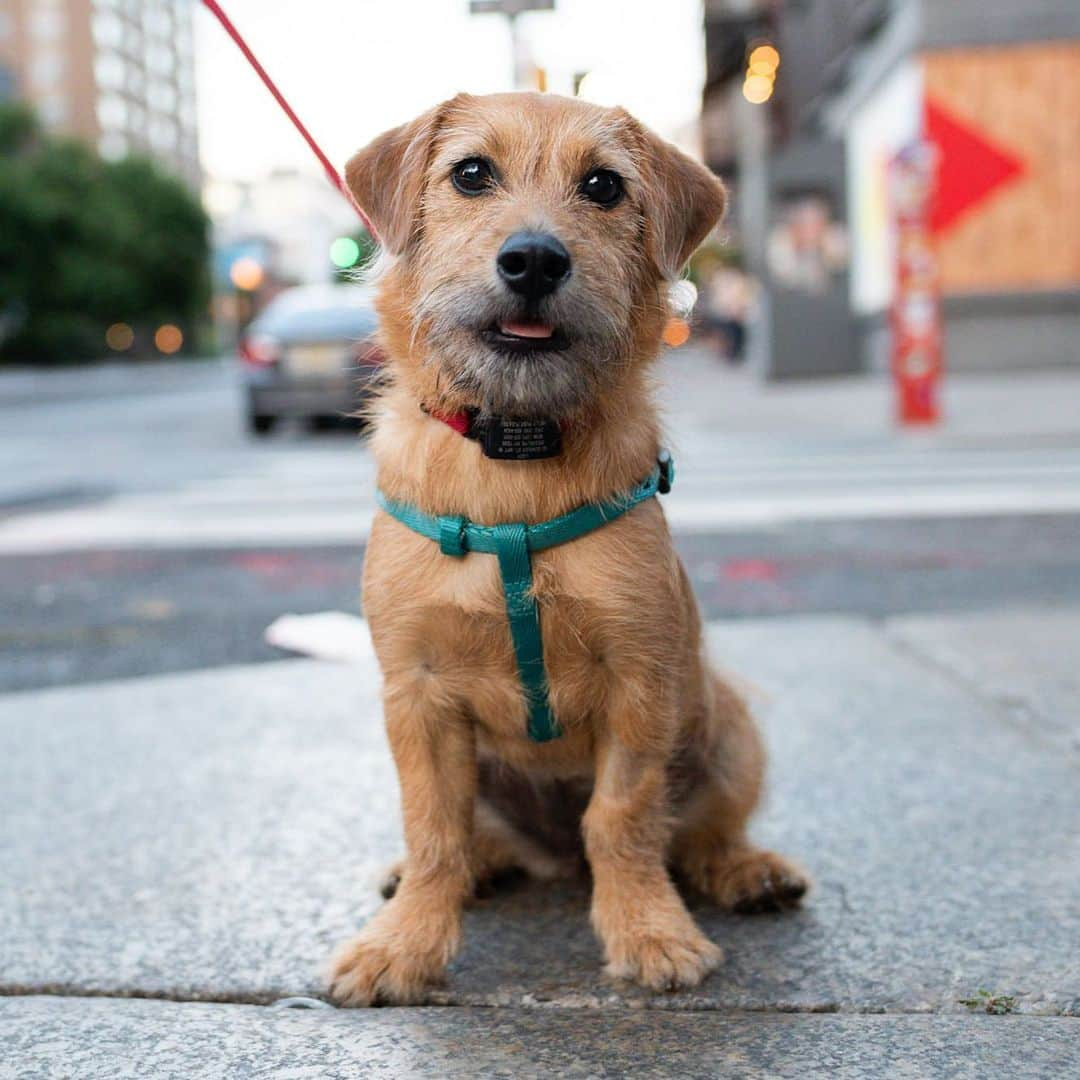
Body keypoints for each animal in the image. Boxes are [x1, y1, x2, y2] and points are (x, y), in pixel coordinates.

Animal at [332, 90, 807, 1002]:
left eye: (603, 186)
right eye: (470, 173)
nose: (534, 261)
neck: (515, 454)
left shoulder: (641, 683)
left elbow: (623, 818)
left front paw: (649, 932)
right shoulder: (417, 693)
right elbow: (432, 828)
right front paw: (404, 944)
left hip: (729, 725)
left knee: (699, 829)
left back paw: (746, 871)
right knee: (464, 840)